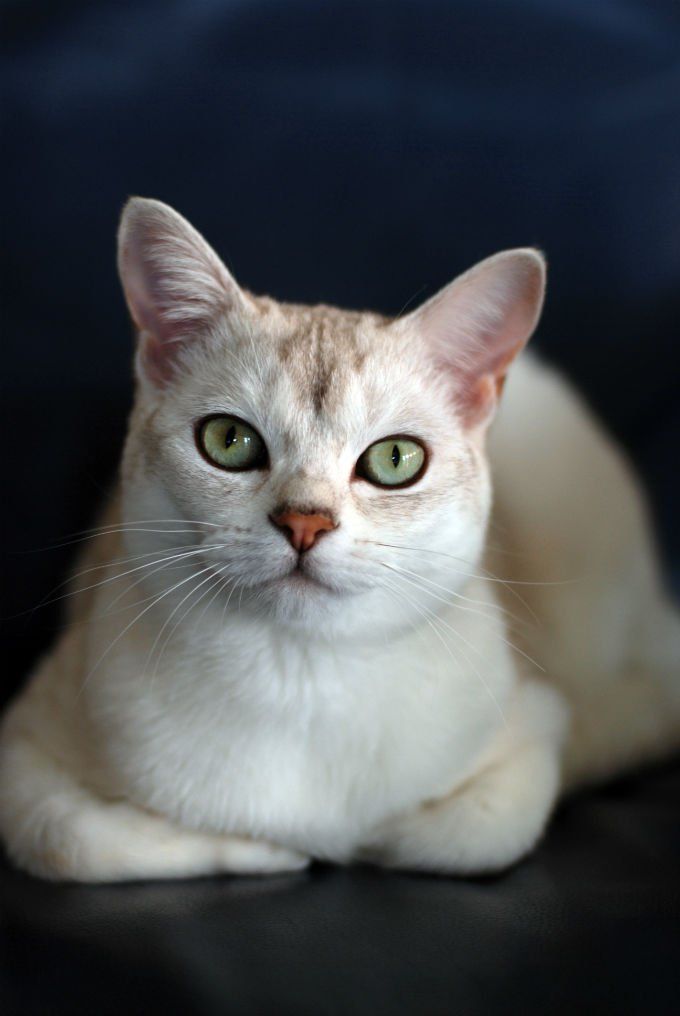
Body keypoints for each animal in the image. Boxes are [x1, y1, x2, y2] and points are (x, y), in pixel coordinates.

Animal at [1, 198, 678, 881]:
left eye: (395, 459)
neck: (299, 679)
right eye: (228, 440)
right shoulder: (22, 749)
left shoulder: (535, 729)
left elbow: (469, 834)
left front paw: (348, 841)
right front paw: (268, 850)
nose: (305, 522)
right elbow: (72, 839)